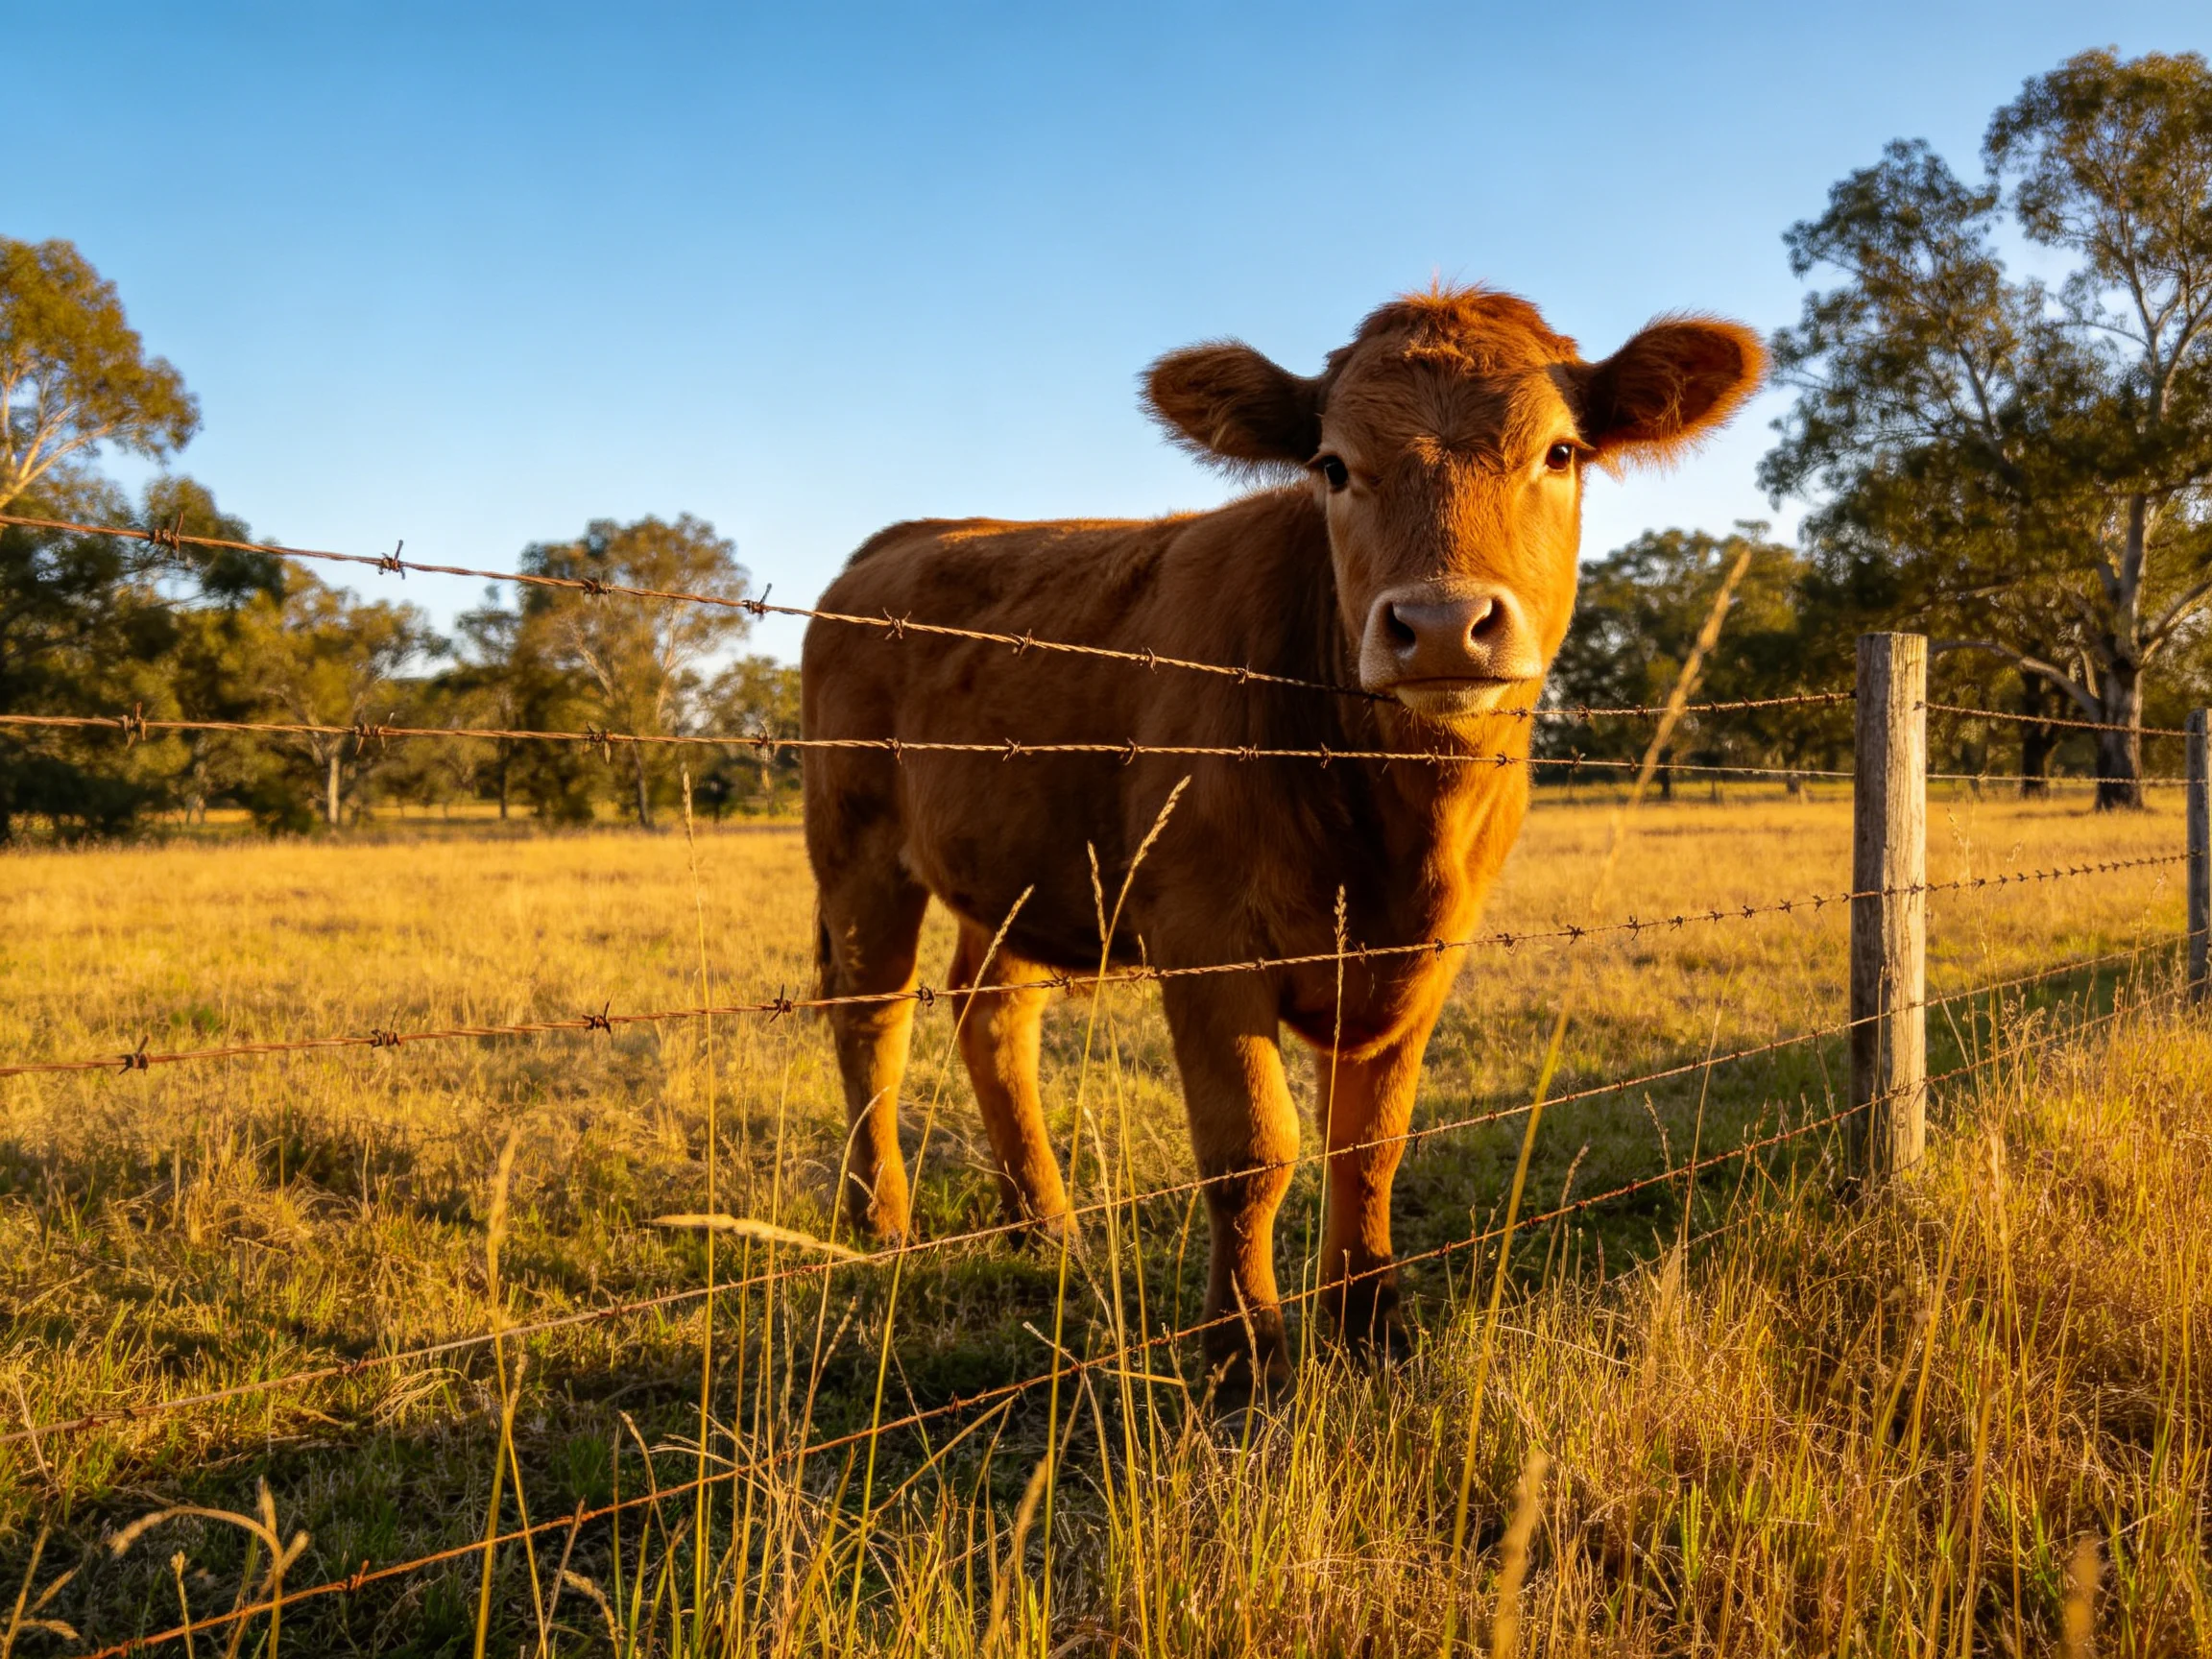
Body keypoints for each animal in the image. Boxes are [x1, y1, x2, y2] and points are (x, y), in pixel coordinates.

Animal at [801, 286, 1762, 1398]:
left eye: (1561, 452)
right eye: (1333, 466)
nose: (1441, 624)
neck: (1395, 829)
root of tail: (903, 539)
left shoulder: (1426, 953)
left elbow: (1371, 1144)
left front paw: (1374, 1326)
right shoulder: (1204, 933)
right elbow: (1252, 1148)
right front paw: (1247, 1355)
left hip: (1016, 871)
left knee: (992, 1013)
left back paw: (1043, 1223)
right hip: (855, 848)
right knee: (871, 1018)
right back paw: (883, 1221)